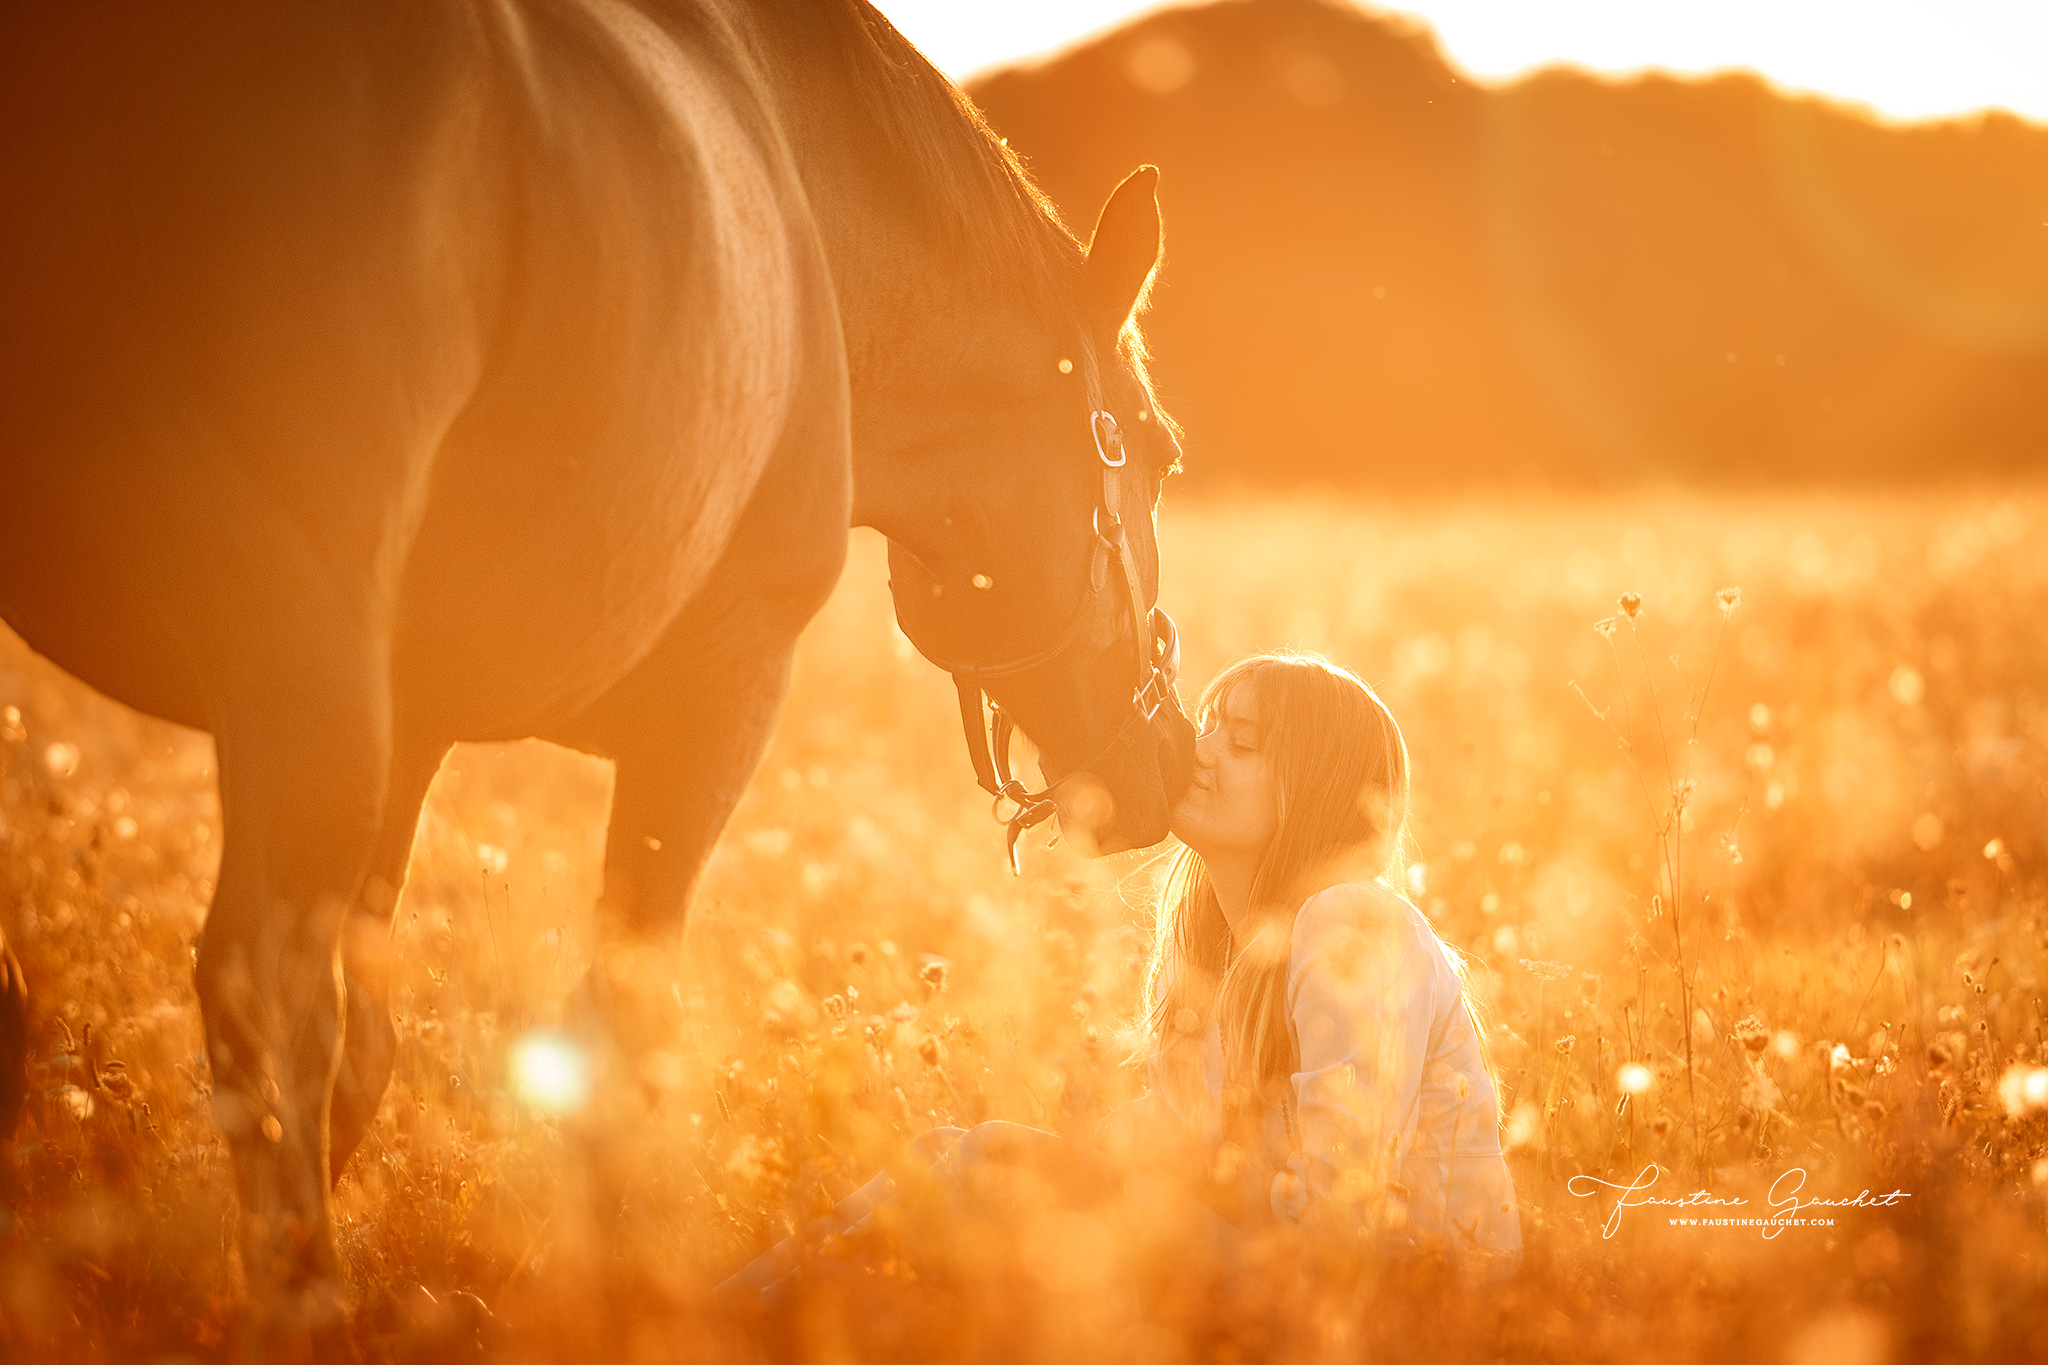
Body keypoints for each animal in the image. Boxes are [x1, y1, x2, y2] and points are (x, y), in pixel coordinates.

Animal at [0, 0, 1196, 1326]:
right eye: (1156, 452)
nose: (1164, 758)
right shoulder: (717, 698)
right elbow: (618, 1033)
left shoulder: (409, 734)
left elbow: (371, 1046)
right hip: (303, 666)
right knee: (262, 999)